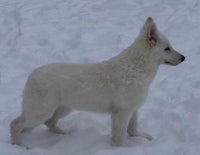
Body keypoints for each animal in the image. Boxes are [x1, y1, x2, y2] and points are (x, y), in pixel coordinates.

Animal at [10, 17, 185, 147]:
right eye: (167, 48)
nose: (184, 58)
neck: (137, 67)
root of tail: (32, 74)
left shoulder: (133, 109)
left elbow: (133, 130)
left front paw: (145, 139)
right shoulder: (122, 112)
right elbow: (119, 137)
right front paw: (120, 149)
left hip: (63, 108)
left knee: (49, 123)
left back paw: (65, 133)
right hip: (41, 111)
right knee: (16, 124)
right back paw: (19, 145)